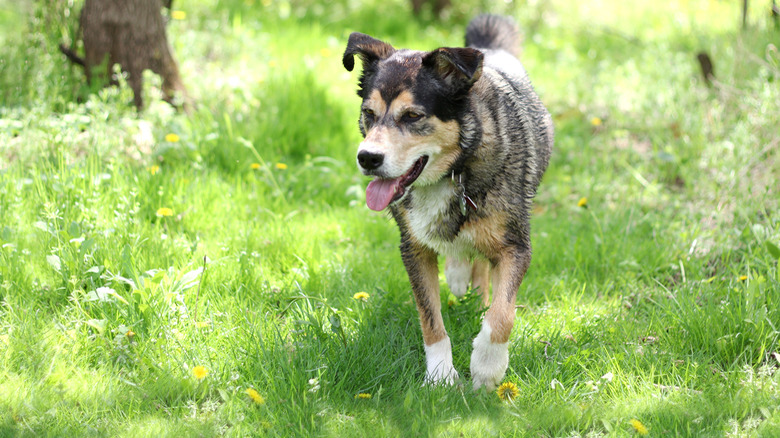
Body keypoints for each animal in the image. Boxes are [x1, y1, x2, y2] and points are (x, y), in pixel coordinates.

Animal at [342, 14, 556, 390]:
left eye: (413, 116)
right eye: (368, 113)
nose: (367, 157)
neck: (452, 172)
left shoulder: (516, 246)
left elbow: (502, 314)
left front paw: (487, 366)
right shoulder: (413, 248)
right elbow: (430, 318)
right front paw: (440, 373)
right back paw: (457, 270)